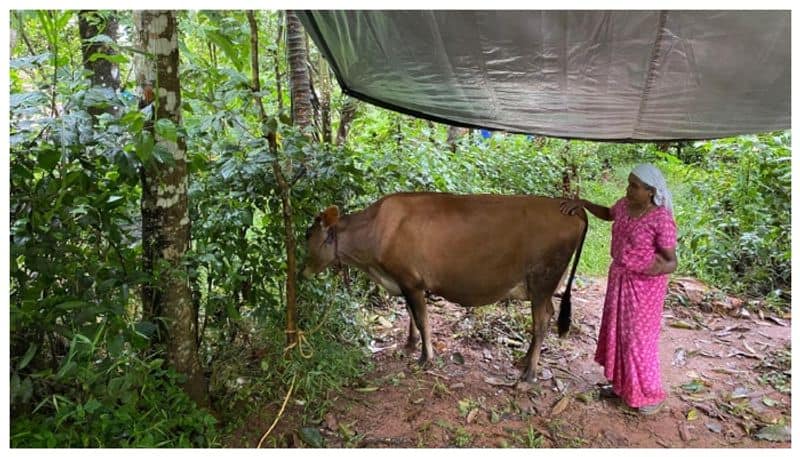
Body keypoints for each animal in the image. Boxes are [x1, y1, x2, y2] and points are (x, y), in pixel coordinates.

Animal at [300, 191, 588, 380]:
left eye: (307, 234)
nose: (302, 271)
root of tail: (573, 210)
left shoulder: (410, 280)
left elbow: (422, 319)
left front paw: (425, 358)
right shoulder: (406, 282)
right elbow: (411, 315)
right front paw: (409, 346)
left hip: (543, 281)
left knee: (543, 320)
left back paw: (529, 374)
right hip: (542, 286)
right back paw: (524, 361)